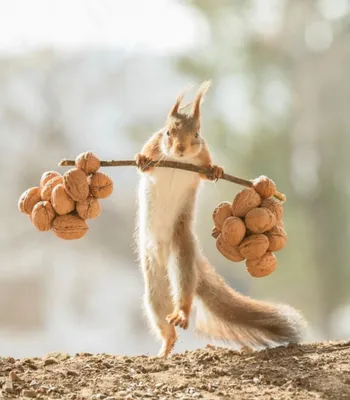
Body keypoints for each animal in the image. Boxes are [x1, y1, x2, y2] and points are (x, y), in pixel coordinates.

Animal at [134, 80, 306, 356]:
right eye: (168, 132)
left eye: (196, 134)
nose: (180, 149)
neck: (178, 161)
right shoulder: (154, 144)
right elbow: (146, 161)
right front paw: (140, 159)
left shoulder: (202, 155)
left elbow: (206, 170)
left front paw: (216, 170)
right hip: (152, 276)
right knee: (160, 308)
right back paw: (166, 344)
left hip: (181, 250)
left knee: (184, 289)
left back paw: (181, 314)